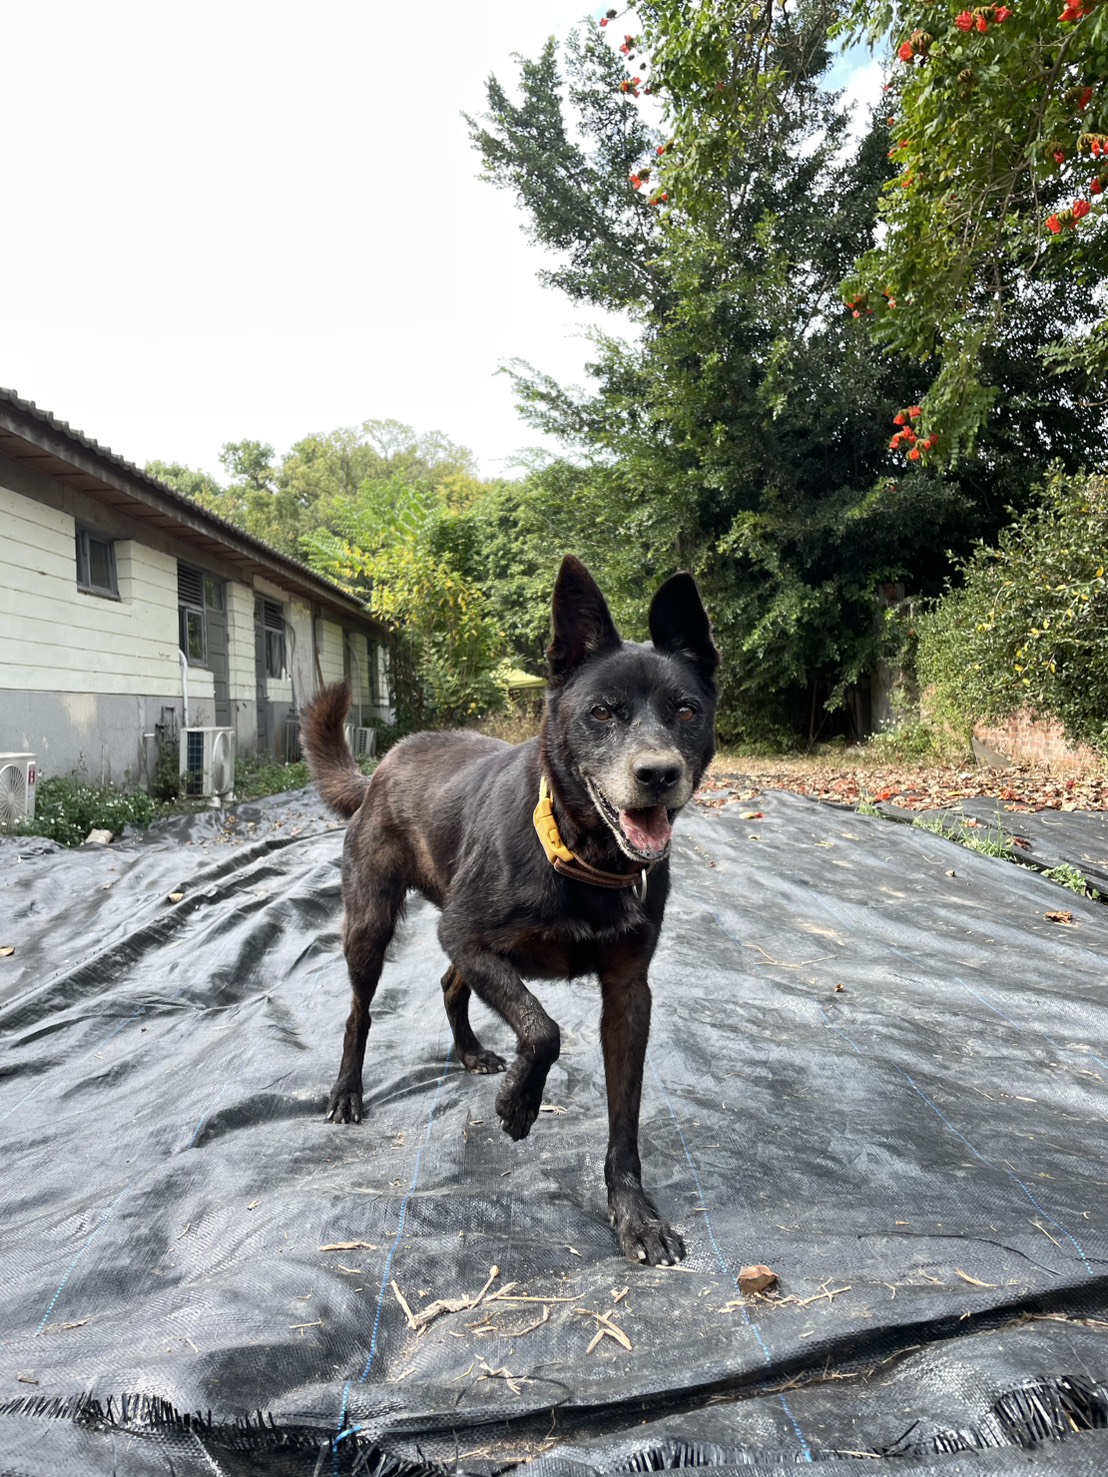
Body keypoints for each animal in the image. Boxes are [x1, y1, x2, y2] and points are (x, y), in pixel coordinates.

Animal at [300, 555, 718, 1265]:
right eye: (602, 713)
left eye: (686, 711)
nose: (659, 775)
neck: (580, 855)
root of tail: (381, 767)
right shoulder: (468, 935)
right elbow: (542, 1027)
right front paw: (519, 1105)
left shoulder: (628, 993)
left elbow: (624, 1118)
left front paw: (634, 1215)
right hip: (371, 926)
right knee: (360, 1011)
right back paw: (347, 1092)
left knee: (449, 985)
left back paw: (471, 1053)